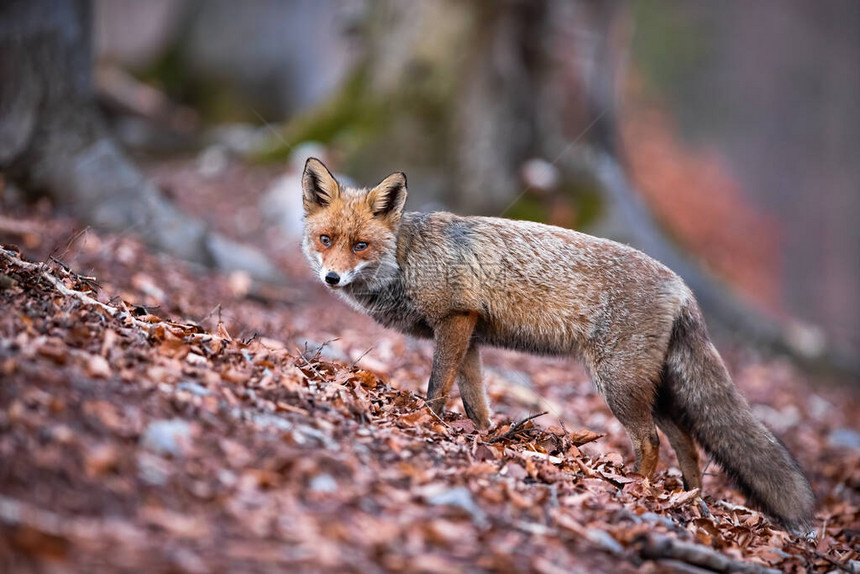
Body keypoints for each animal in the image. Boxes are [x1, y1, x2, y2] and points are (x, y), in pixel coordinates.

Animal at [300, 156, 812, 532]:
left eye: (360, 246)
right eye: (326, 239)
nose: (331, 278)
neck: (408, 259)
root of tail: (683, 285)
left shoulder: (454, 320)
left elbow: (436, 388)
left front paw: (428, 423)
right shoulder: (469, 335)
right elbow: (475, 401)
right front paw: (485, 438)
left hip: (619, 384)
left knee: (650, 442)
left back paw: (638, 492)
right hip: (656, 390)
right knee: (687, 444)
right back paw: (690, 500)